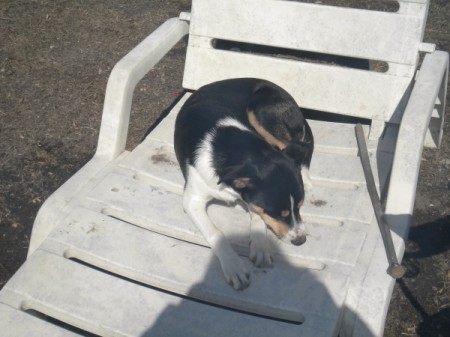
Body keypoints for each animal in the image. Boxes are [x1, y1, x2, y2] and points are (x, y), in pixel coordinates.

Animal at [174, 77, 314, 288]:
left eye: (299, 207)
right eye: (278, 213)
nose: (301, 241)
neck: (228, 146)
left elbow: (256, 214)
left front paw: (260, 245)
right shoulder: (192, 200)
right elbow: (217, 232)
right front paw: (233, 266)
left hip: (260, 111)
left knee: (293, 145)